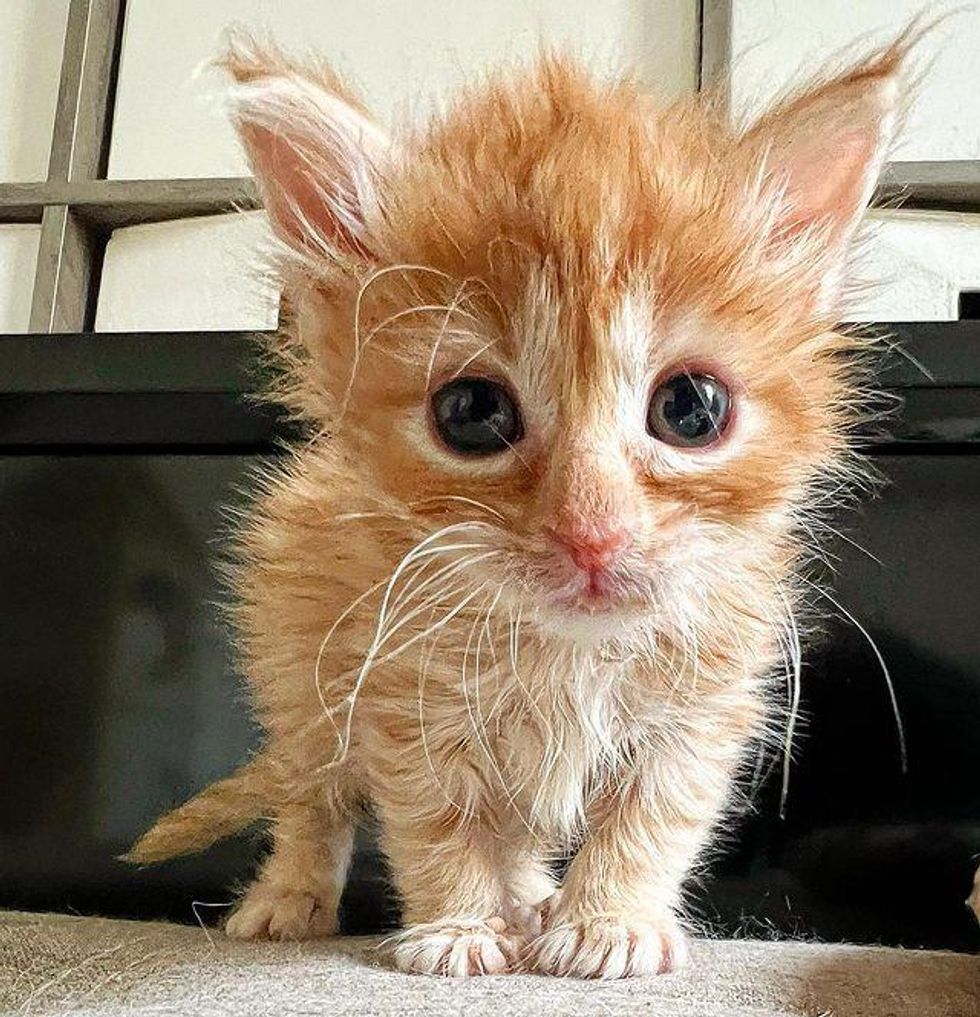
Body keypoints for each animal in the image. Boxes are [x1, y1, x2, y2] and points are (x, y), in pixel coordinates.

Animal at [128, 37, 902, 976]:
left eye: (691, 408)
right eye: (471, 412)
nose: (591, 536)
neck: (564, 653)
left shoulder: (703, 705)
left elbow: (655, 815)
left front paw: (609, 920)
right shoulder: (399, 697)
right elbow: (438, 823)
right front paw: (457, 927)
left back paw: (533, 900)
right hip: (298, 673)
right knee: (315, 796)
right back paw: (293, 895)